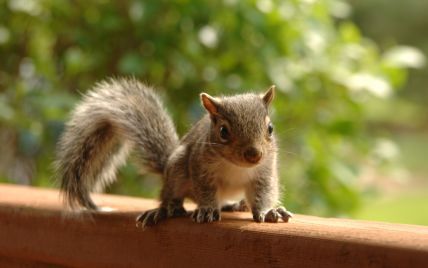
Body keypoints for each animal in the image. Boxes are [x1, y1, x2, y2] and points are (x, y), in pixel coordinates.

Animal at [55, 78, 292, 228]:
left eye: (270, 128)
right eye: (223, 131)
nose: (254, 155)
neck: (235, 166)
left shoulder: (264, 172)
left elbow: (263, 193)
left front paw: (268, 212)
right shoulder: (200, 166)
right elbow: (205, 191)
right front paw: (207, 209)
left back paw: (236, 205)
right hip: (177, 168)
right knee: (169, 195)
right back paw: (167, 210)